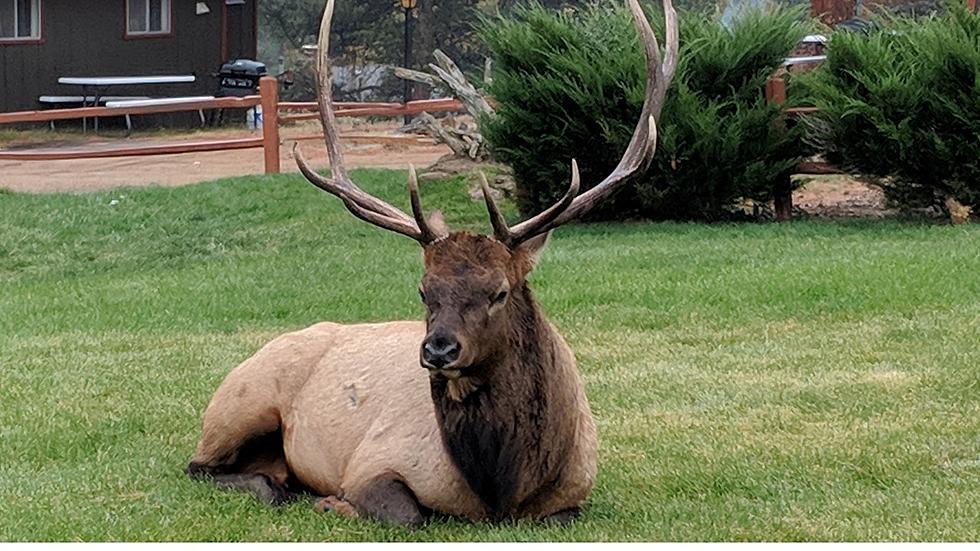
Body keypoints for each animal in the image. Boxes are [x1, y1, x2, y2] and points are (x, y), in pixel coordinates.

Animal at [184, 0, 672, 528]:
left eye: (500, 291)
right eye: (424, 289)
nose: (439, 350)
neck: (499, 489)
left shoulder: (574, 496)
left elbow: (564, 513)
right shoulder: (372, 461)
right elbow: (406, 513)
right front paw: (334, 501)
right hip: (240, 402)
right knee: (201, 467)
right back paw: (280, 486)